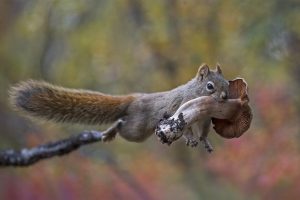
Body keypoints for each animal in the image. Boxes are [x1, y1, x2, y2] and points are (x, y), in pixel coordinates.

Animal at [9, 64, 230, 147]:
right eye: (210, 86)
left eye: (227, 83)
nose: (225, 96)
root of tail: (133, 99)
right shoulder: (182, 108)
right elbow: (185, 127)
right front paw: (191, 138)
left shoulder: (205, 119)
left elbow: (204, 131)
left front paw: (204, 141)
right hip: (137, 129)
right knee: (122, 124)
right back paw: (111, 131)